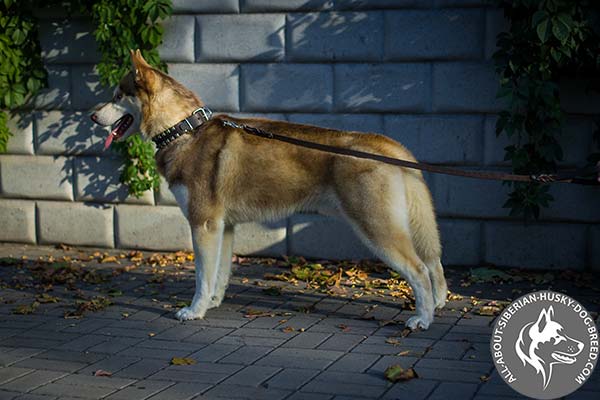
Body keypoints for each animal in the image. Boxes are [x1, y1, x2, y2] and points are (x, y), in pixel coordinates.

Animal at [88, 49, 446, 332]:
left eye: (118, 95)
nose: (91, 115)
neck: (184, 130)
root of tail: (388, 145)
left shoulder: (203, 224)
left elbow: (202, 276)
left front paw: (194, 310)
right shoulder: (223, 228)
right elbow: (219, 274)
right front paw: (213, 303)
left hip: (377, 229)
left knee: (418, 270)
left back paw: (423, 318)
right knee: (433, 263)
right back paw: (438, 302)